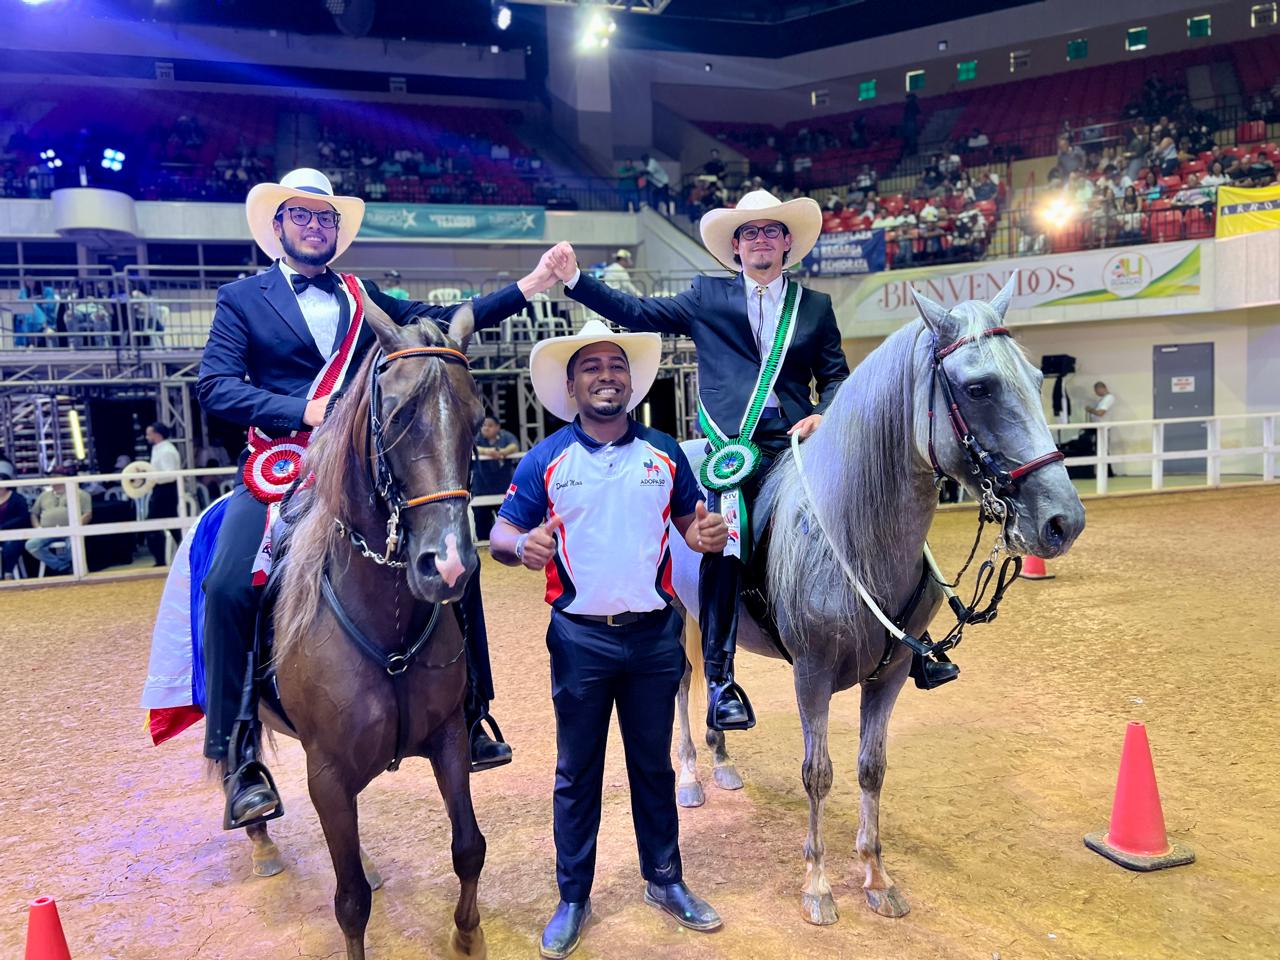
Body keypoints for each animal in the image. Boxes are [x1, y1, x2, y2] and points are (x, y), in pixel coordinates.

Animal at [244, 300, 483, 960]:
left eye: (477, 420)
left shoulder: (449, 738)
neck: (388, 626)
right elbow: (350, 902)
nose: (449, 565)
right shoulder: (326, 774)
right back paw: (256, 823)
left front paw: (468, 936)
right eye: (398, 416)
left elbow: (468, 847)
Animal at [670, 276, 1080, 926]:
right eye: (979, 387)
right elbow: (818, 774)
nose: (1063, 521)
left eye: (1039, 379)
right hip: (681, 615)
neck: (854, 530)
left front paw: (876, 877)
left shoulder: (888, 675)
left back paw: (723, 763)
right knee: (685, 688)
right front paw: (817, 886)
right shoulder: (811, 675)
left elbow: (871, 768)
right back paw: (689, 777)